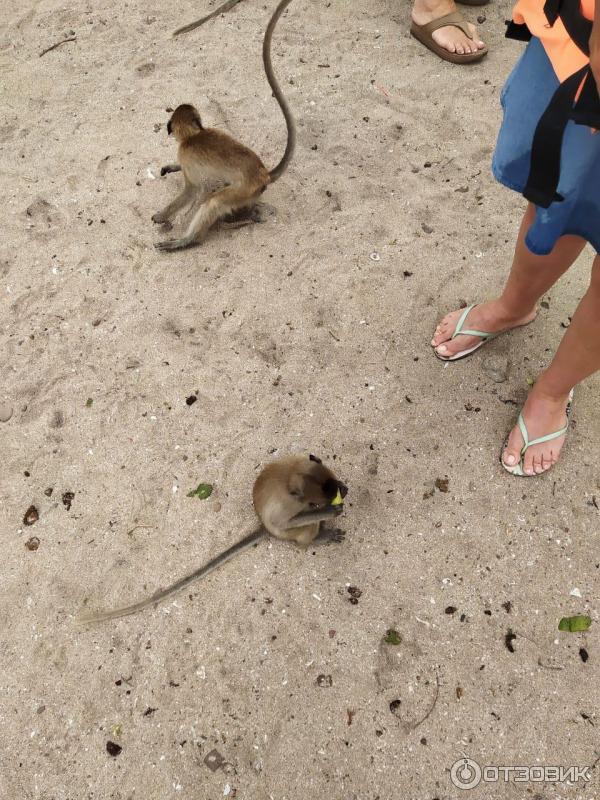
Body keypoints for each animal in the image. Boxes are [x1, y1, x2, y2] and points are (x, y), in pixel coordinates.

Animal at [76, 456, 346, 624]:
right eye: (317, 500)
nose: (341, 491)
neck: (292, 473)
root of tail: (263, 528)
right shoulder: (288, 509)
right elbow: (289, 520)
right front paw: (331, 511)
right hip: (286, 533)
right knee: (304, 527)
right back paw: (319, 537)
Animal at [154, 0, 296, 252]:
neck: (193, 136)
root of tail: (263, 174)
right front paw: (171, 167)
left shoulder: (186, 155)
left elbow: (192, 191)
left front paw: (163, 215)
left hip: (240, 191)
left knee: (214, 200)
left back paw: (188, 241)